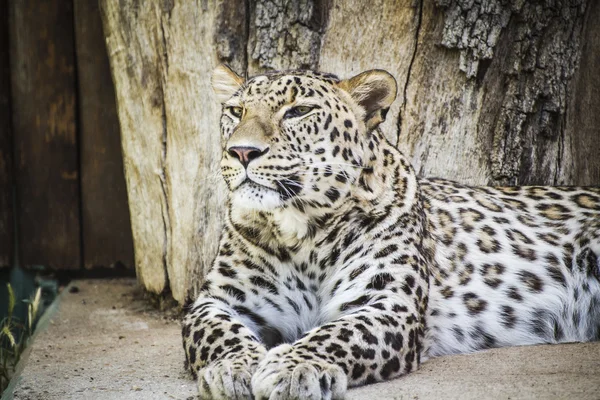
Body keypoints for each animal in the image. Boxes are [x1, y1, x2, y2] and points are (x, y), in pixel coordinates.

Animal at [182, 64, 600, 398]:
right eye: (236, 111)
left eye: (298, 111)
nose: (241, 152)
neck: (302, 232)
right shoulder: (217, 300)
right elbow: (217, 332)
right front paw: (234, 367)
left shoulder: (389, 303)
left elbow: (339, 332)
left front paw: (292, 368)